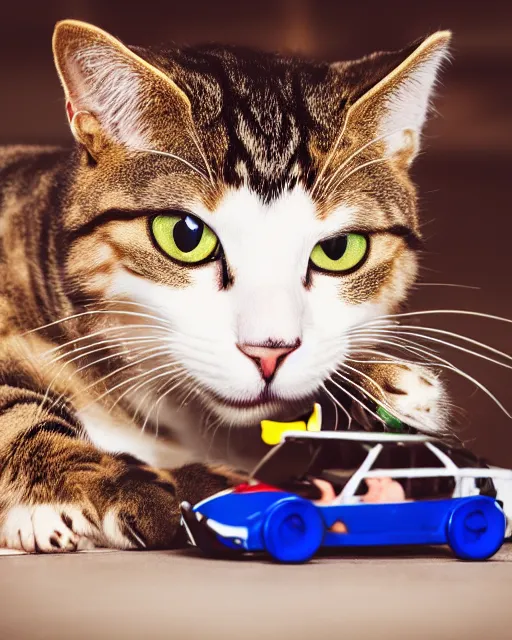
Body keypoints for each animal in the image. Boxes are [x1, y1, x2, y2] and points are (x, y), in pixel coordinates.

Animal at [0, 18, 450, 552]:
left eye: (339, 249)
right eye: (185, 236)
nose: (269, 352)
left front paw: (376, 386)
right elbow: (14, 405)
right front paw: (99, 484)